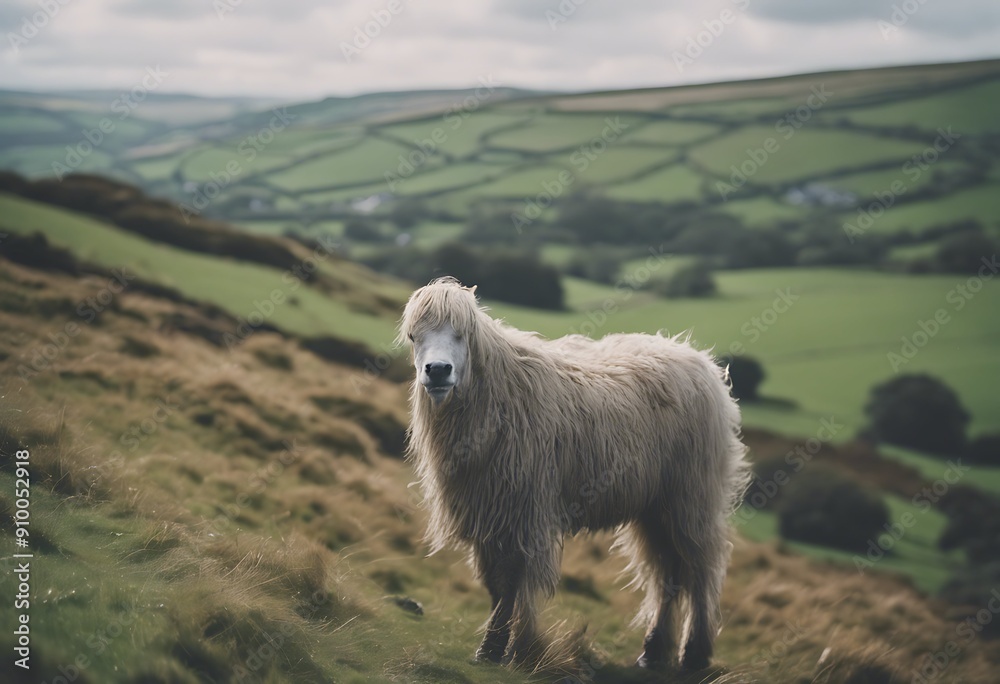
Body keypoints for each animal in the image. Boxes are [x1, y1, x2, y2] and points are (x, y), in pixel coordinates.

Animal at [398, 276, 752, 672]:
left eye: (462, 334)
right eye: (414, 336)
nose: (438, 370)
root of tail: (699, 358)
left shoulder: (525, 510)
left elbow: (511, 580)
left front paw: (502, 648)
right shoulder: (489, 511)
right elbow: (494, 582)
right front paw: (494, 646)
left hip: (694, 495)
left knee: (701, 568)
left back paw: (695, 653)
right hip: (656, 505)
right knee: (669, 573)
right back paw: (653, 650)